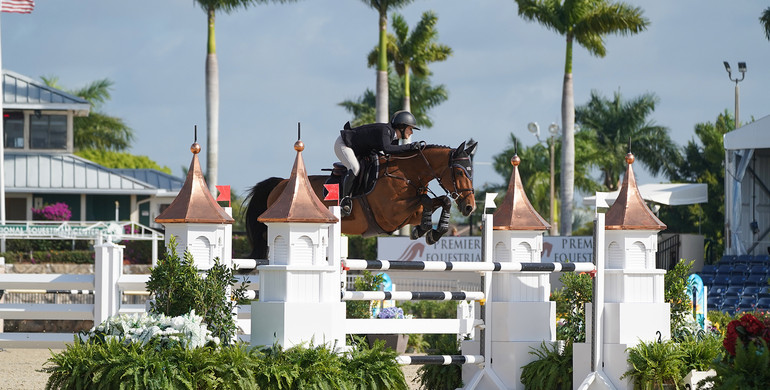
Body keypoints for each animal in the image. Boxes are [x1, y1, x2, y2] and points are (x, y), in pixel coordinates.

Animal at [243, 140, 476, 258]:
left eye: (471, 172)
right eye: (460, 172)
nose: (469, 207)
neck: (404, 172)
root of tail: (280, 184)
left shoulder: (408, 213)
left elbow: (439, 201)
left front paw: (430, 231)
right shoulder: (391, 214)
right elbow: (428, 200)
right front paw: (428, 230)